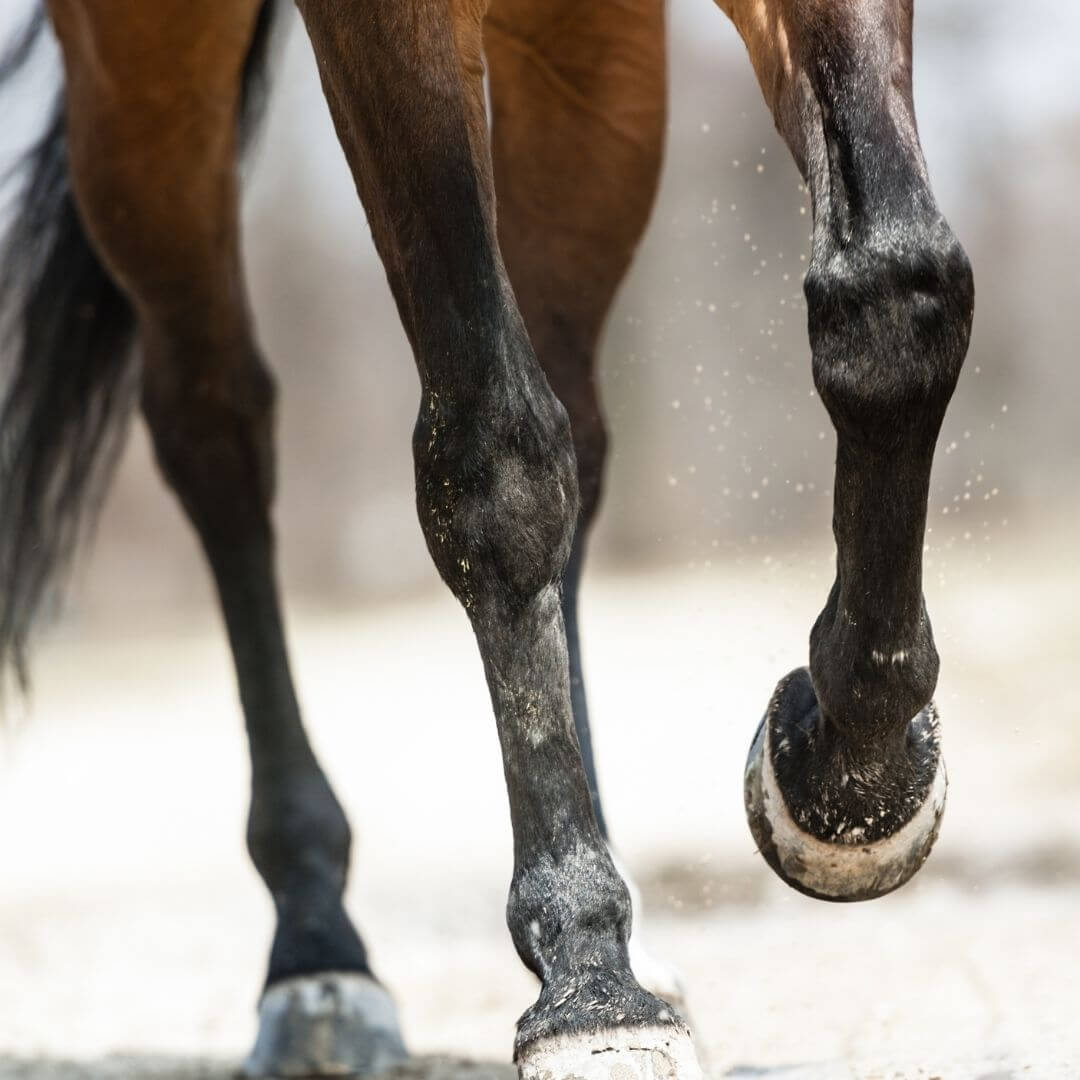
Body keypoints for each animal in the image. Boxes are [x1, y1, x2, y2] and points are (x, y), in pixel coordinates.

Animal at [0, 1, 974, 1076]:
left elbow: (894, 299)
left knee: (576, 416)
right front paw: (590, 982)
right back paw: (317, 954)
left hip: (589, 70)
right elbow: (493, 457)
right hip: (143, 67)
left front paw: (845, 784)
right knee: (215, 430)